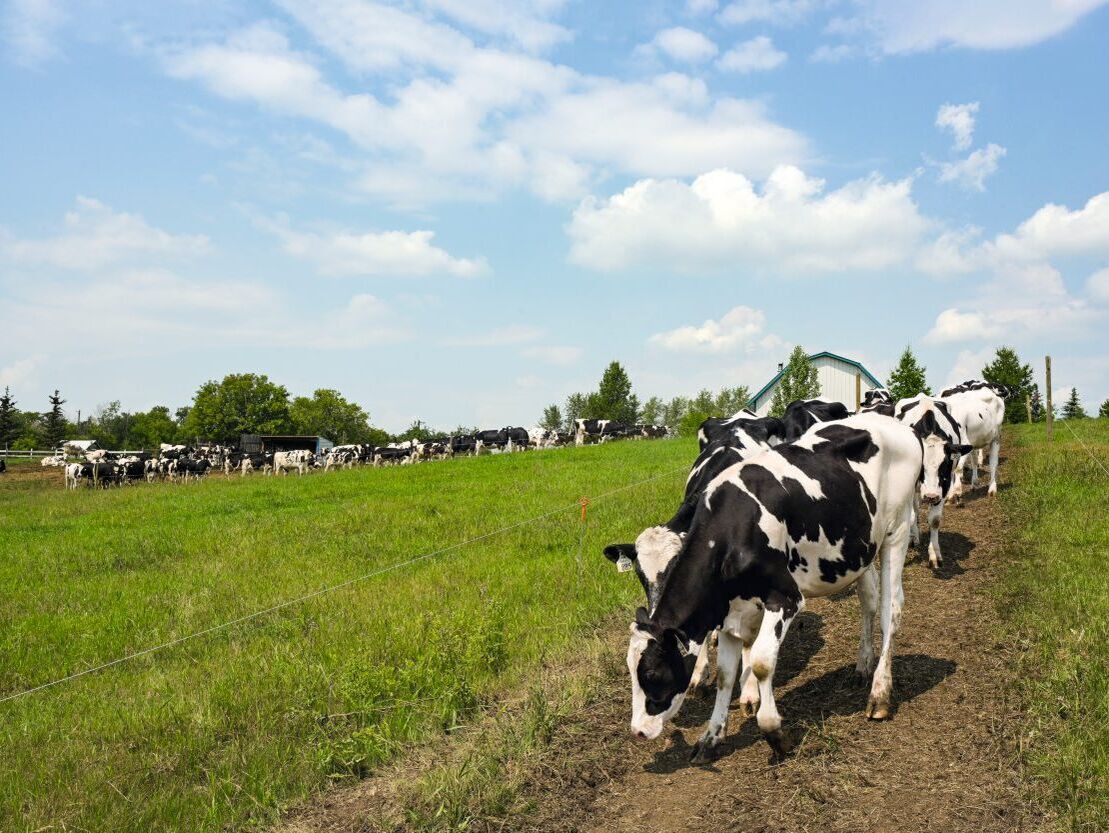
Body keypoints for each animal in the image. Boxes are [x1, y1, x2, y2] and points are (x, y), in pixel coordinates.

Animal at [625, 414, 918, 758]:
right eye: (631, 671)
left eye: (652, 674)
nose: (638, 731)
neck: (733, 529)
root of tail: (893, 422)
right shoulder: (730, 611)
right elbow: (726, 674)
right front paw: (711, 736)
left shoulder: (785, 598)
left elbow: (762, 662)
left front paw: (773, 730)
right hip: (860, 549)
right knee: (869, 601)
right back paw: (862, 665)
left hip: (897, 529)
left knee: (890, 609)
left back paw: (880, 692)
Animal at [891, 394, 971, 567]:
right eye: (921, 466)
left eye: (945, 465)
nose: (930, 496)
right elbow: (911, 515)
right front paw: (911, 540)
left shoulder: (944, 486)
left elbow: (934, 520)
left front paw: (934, 554)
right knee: (914, 510)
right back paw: (914, 537)